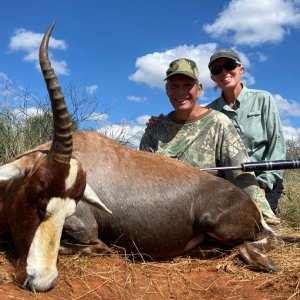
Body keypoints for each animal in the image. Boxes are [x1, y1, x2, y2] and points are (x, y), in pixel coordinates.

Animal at [0, 23, 284, 292]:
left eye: (69, 208)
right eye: (35, 194)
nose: (41, 281)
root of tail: (250, 204)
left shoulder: (88, 231)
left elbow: (96, 246)